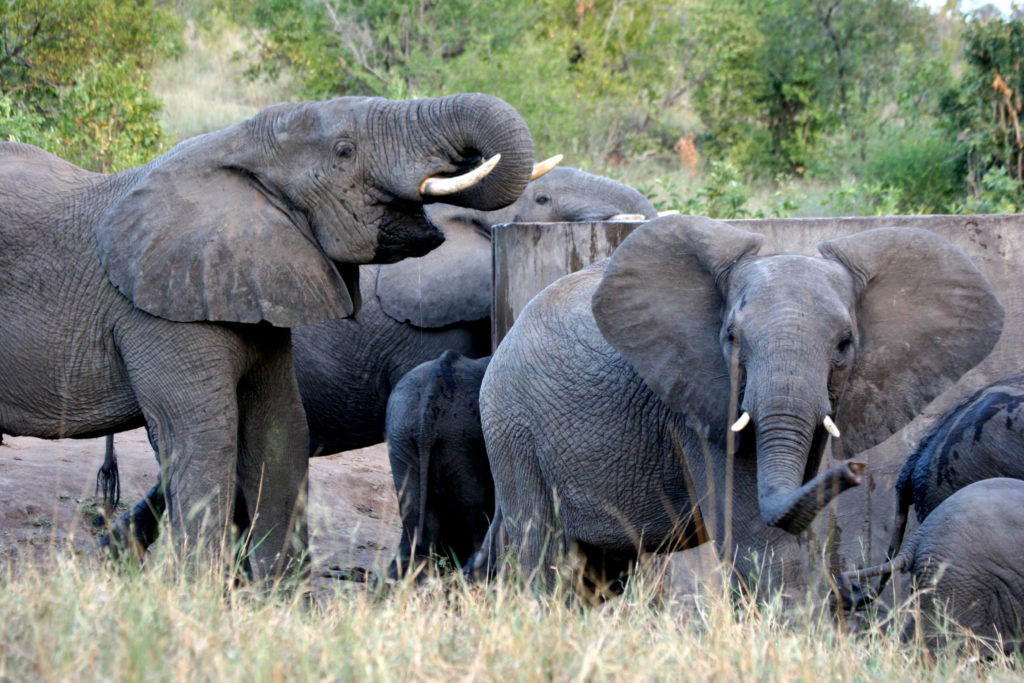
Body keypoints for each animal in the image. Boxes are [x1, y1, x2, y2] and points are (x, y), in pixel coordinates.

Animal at [475, 215, 1003, 598]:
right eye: (731, 339)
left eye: (845, 345)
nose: (855, 471)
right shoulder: (698, 404)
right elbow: (760, 542)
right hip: (510, 426)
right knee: (547, 555)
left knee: (600, 569)